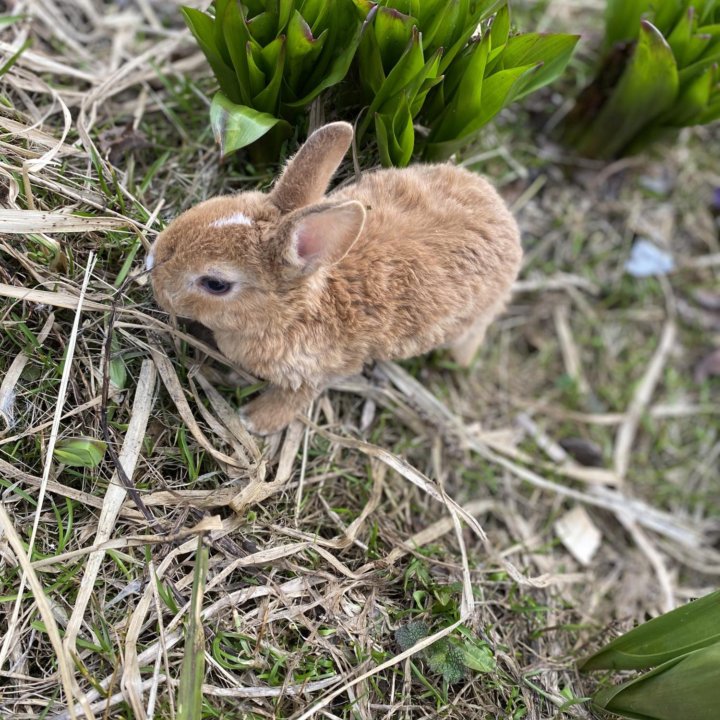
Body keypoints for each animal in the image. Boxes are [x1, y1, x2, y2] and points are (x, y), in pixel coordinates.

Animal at [149, 122, 524, 434]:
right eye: (205, 208)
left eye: (216, 284)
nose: (152, 272)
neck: (296, 311)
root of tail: (505, 219)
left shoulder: (317, 372)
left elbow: (296, 398)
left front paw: (255, 420)